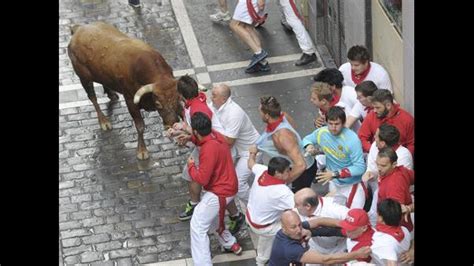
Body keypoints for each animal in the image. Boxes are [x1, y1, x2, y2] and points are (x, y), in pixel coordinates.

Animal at [67, 21, 182, 160]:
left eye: (177, 100)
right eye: (158, 103)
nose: (172, 123)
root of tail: (79, 29)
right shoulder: (130, 100)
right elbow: (140, 126)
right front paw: (142, 151)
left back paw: (111, 94)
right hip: (84, 77)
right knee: (92, 97)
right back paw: (104, 121)